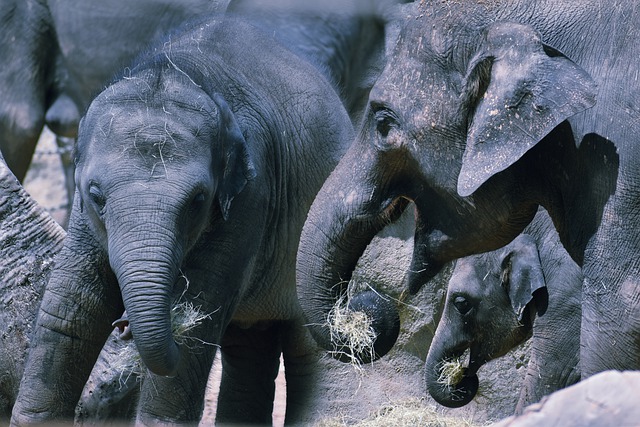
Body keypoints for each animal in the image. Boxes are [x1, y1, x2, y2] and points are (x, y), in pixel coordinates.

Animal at [11, 13, 360, 427]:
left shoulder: (251, 197)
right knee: (249, 348)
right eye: (96, 195)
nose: (123, 327)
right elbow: (73, 306)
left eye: (198, 200)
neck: (180, 72)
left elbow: (199, 316)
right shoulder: (84, 216)